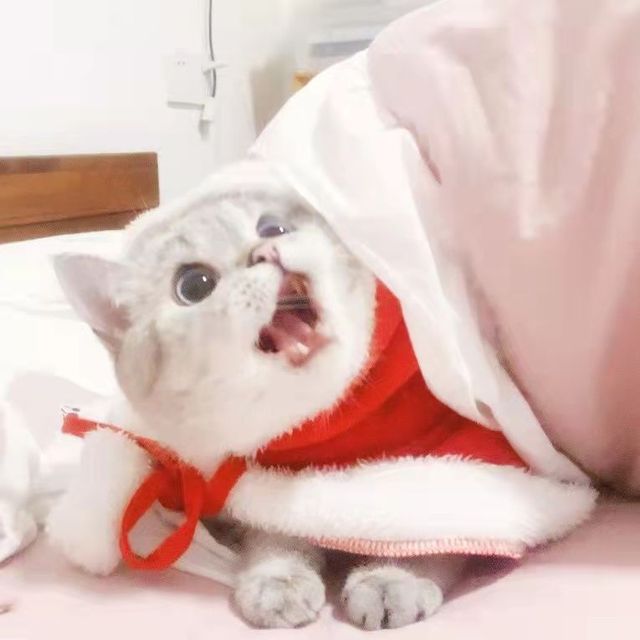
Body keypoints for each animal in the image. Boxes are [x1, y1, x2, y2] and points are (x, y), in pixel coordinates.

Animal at [46, 159, 465, 629]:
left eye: (273, 227)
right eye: (193, 285)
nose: (264, 251)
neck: (331, 427)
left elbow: (427, 529)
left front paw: (392, 578)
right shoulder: (266, 484)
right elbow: (276, 535)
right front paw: (278, 580)